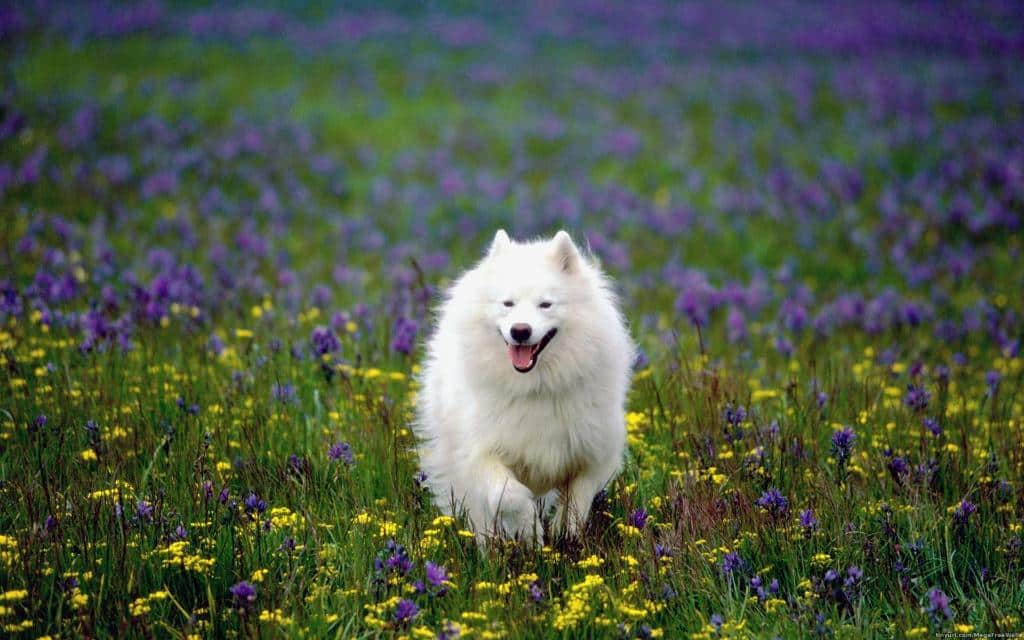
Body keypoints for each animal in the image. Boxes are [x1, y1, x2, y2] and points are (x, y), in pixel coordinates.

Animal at [413, 229, 630, 540]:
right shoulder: (481, 454)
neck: (536, 386)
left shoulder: (595, 454)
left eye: (545, 304)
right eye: (508, 304)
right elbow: (510, 496)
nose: (520, 330)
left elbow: (578, 499)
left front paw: (565, 533)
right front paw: (529, 534)